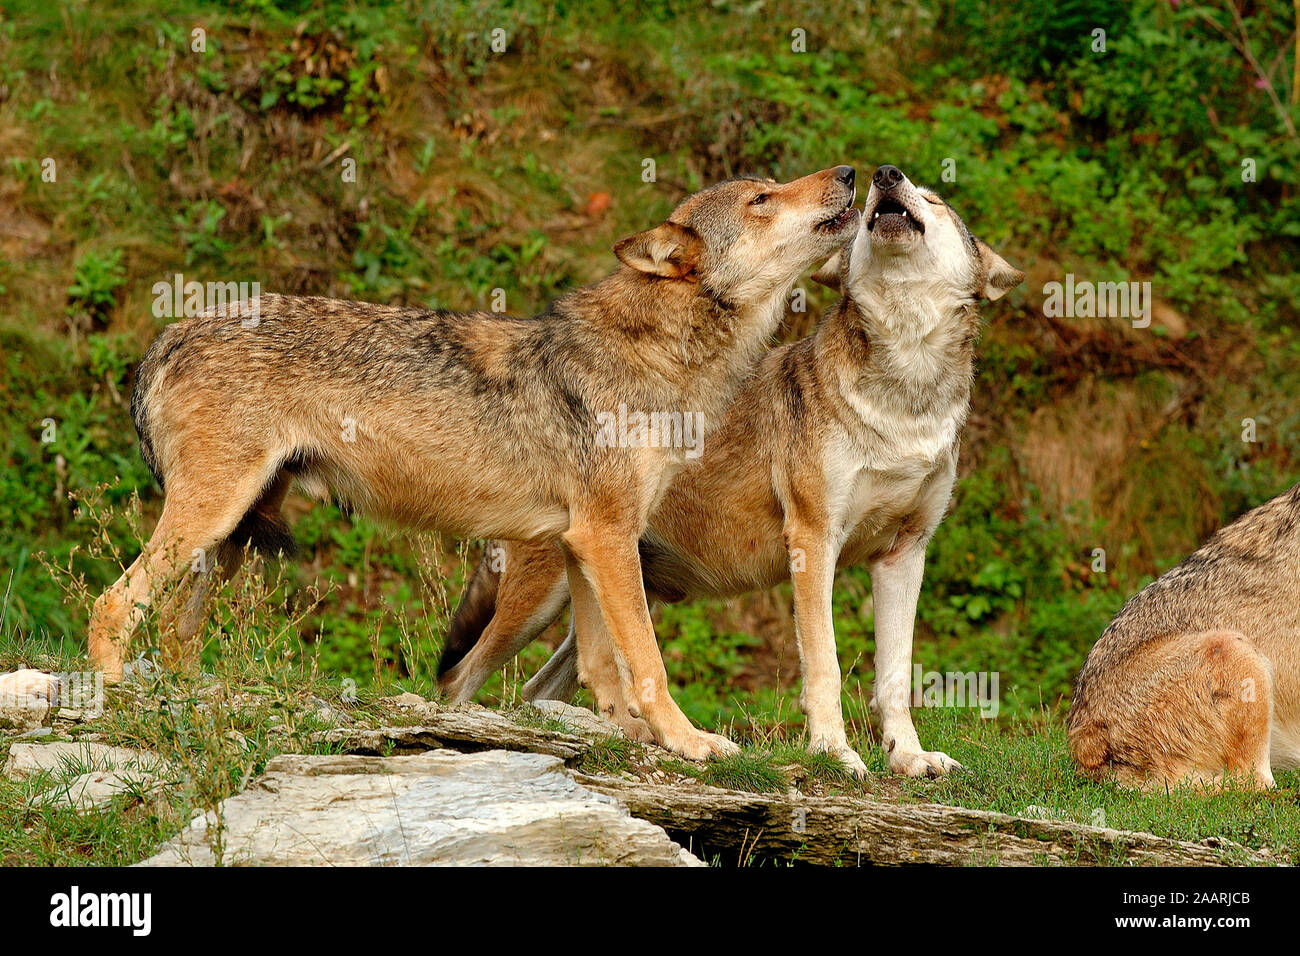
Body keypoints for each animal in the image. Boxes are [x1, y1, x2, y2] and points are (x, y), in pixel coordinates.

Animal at [90, 167, 860, 762]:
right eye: (762, 198)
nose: (852, 173)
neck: (662, 356)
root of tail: (171, 331)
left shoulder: (585, 542)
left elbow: (603, 669)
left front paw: (634, 741)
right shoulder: (607, 537)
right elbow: (647, 663)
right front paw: (689, 742)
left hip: (232, 537)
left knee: (173, 631)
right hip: (213, 518)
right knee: (112, 602)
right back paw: (112, 703)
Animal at [436, 165, 1024, 776]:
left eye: (933, 199)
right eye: (762, 197)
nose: (882, 175)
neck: (906, 400)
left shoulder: (904, 554)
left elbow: (894, 679)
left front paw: (908, 757)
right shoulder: (813, 542)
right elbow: (827, 667)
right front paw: (835, 754)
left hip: (621, 592)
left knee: (547, 686)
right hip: (540, 603)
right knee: (462, 679)